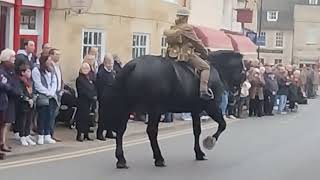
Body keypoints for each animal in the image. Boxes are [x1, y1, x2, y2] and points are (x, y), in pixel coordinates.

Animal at [105, 50, 245, 169]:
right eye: (244, 72)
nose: (235, 95)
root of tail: (134, 65)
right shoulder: (212, 107)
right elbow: (222, 124)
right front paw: (210, 141)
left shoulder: (195, 110)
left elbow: (197, 131)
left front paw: (199, 153)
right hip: (154, 109)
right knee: (151, 131)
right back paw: (159, 159)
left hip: (127, 107)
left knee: (121, 130)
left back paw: (121, 160)